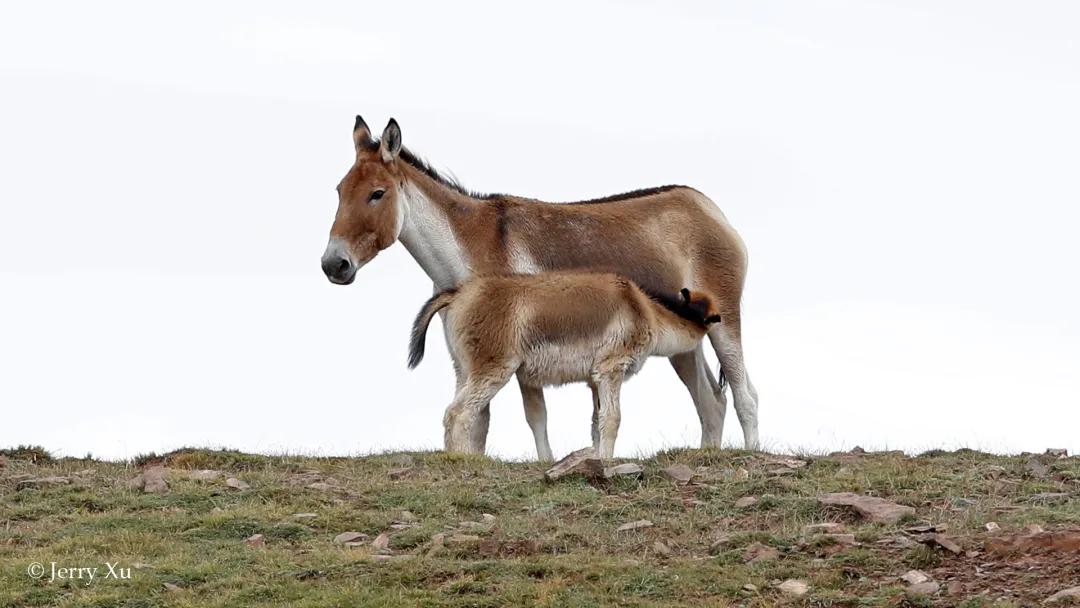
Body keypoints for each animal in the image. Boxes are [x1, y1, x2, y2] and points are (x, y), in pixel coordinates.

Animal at [408, 273, 721, 460]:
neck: (643, 309)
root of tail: (460, 293)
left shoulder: (594, 381)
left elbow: (596, 425)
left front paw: (596, 458)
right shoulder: (610, 371)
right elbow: (612, 419)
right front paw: (606, 461)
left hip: (465, 371)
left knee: (454, 413)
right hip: (493, 371)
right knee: (458, 413)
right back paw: (463, 459)